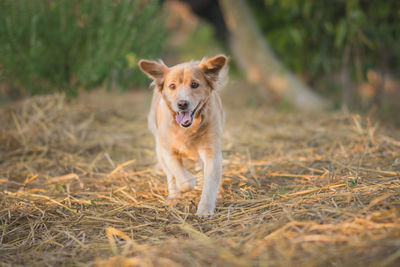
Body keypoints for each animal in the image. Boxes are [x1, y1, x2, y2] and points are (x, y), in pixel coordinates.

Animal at [139, 54, 228, 216]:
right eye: (172, 86)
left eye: (194, 84)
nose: (182, 104)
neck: (188, 128)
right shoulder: (168, 152)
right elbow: (183, 179)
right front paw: (189, 181)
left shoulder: (212, 152)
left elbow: (210, 183)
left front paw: (205, 209)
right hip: (159, 150)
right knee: (171, 176)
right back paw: (174, 196)